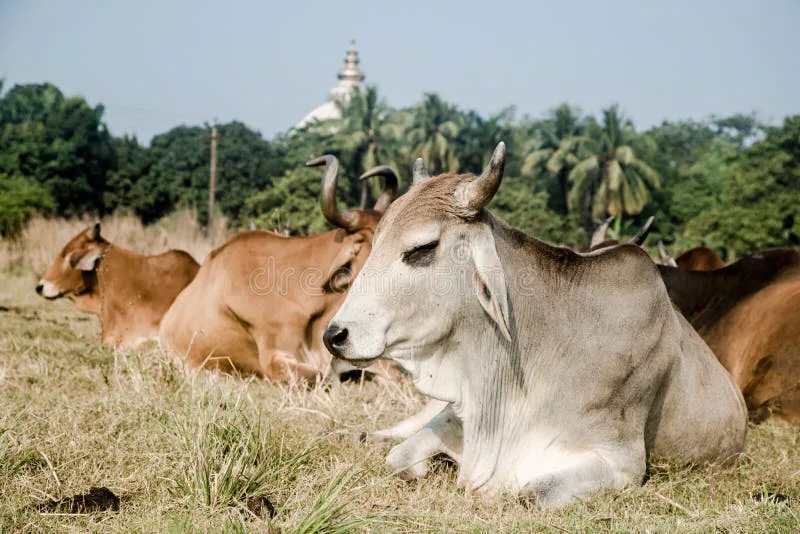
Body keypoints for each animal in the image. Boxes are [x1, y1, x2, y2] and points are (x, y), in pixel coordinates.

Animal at [323, 143, 746, 508]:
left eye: (422, 249)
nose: (334, 335)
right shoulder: (456, 416)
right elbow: (399, 458)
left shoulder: (621, 464)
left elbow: (529, 494)